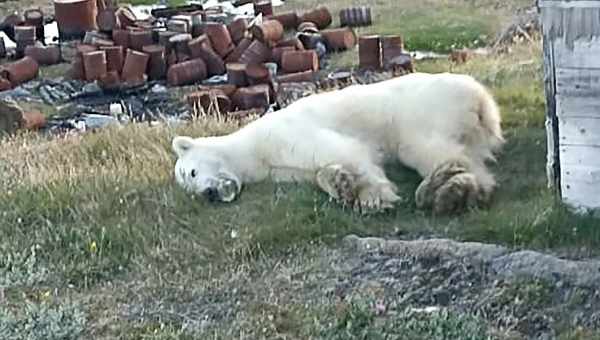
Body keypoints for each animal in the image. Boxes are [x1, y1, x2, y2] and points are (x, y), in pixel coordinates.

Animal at [175, 72, 506, 215]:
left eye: (191, 172)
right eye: (189, 189)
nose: (208, 194)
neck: (251, 149)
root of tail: (480, 98)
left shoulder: (282, 134)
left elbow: (342, 150)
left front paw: (372, 197)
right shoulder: (280, 168)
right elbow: (317, 171)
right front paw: (341, 184)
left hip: (423, 109)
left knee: (425, 147)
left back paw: (445, 191)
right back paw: (457, 192)